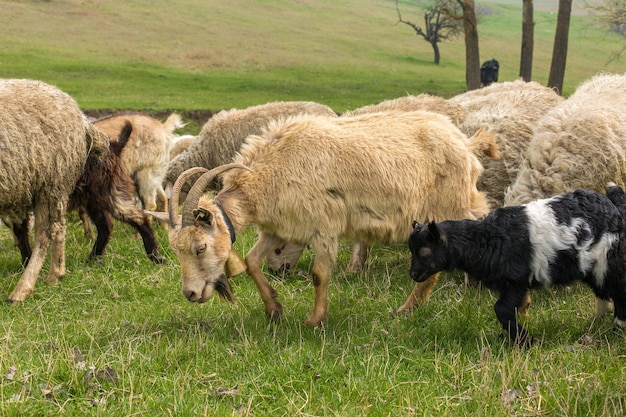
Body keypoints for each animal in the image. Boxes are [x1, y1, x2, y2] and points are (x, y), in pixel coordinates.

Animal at [152, 109, 498, 324]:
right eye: (177, 251)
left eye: (200, 247)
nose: (190, 294)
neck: (272, 169)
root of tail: (466, 143)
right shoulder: (280, 227)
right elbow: (251, 261)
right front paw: (273, 308)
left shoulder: (324, 226)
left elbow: (319, 274)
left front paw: (315, 319)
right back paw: (408, 310)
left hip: (451, 203)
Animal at [408, 185, 624, 344]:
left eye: (424, 251)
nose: (413, 274)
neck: (485, 240)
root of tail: (614, 206)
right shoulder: (510, 285)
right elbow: (514, 309)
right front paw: (510, 337)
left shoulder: (516, 281)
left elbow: (502, 309)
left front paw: (525, 340)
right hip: (592, 267)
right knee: (603, 292)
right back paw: (597, 323)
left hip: (609, 262)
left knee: (618, 293)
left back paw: (616, 331)